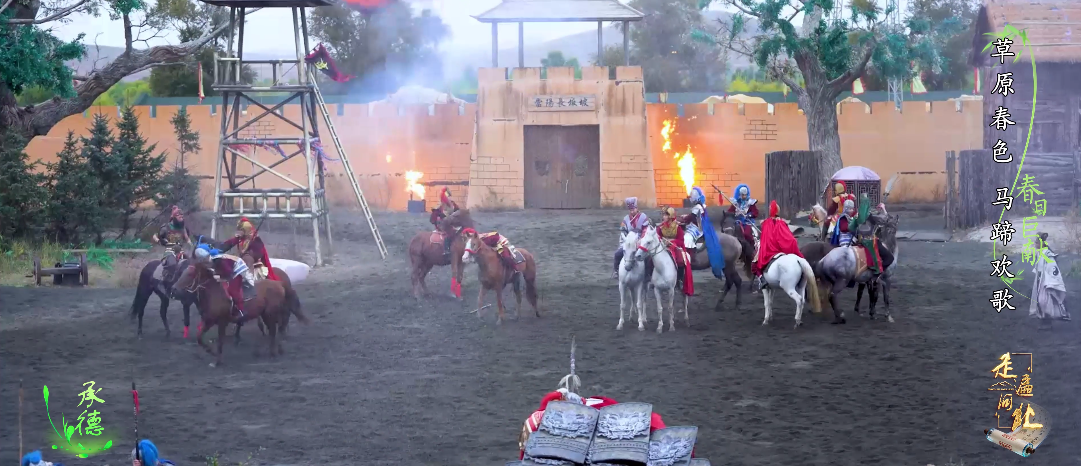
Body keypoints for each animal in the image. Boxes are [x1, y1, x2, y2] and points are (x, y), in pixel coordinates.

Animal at [172, 261, 301, 367]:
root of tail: (279, 283)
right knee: (276, 330)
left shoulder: (222, 322)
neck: (214, 293)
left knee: (276, 330)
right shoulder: (208, 320)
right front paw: (211, 352)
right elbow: (199, 338)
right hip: (266, 314)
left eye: (190, 274)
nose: (174, 290)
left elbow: (220, 341)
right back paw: (275, 350)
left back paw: (274, 353)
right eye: (182, 273)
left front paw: (218, 361)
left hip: (271, 314)